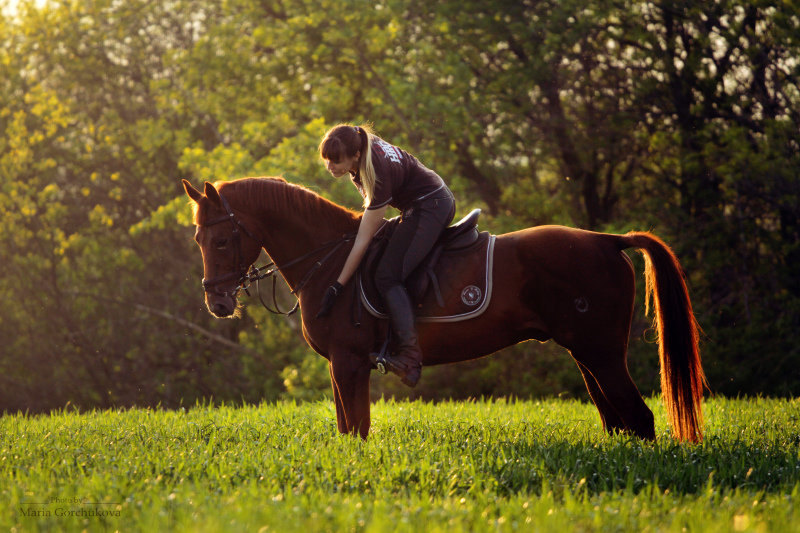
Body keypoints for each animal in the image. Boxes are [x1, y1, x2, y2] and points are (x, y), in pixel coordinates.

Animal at [183, 178, 708, 440]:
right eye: (198, 239)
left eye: (223, 239)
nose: (217, 301)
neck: (330, 260)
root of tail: (607, 240)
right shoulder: (341, 366)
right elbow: (347, 429)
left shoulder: (349, 363)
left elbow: (356, 431)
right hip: (586, 354)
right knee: (618, 422)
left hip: (601, 352)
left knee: (639, 420)